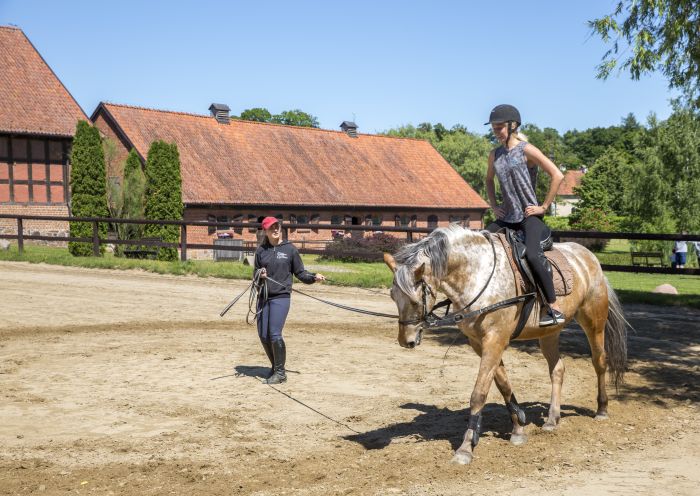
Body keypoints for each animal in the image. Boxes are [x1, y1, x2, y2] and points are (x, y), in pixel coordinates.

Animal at [382, 225, 628, 464]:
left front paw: (465, 448)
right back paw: (552, 419)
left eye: (415, 300)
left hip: (594, 321)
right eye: (393, 296)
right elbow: (503, 385)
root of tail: (588, 257)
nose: (406, 340)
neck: (477, 274)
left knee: (599, 362)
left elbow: (479, 393)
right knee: (557, 369)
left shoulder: (495, 339)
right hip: (549, 333)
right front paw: (518, 429)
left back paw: (602, 409)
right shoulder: (479, 343)